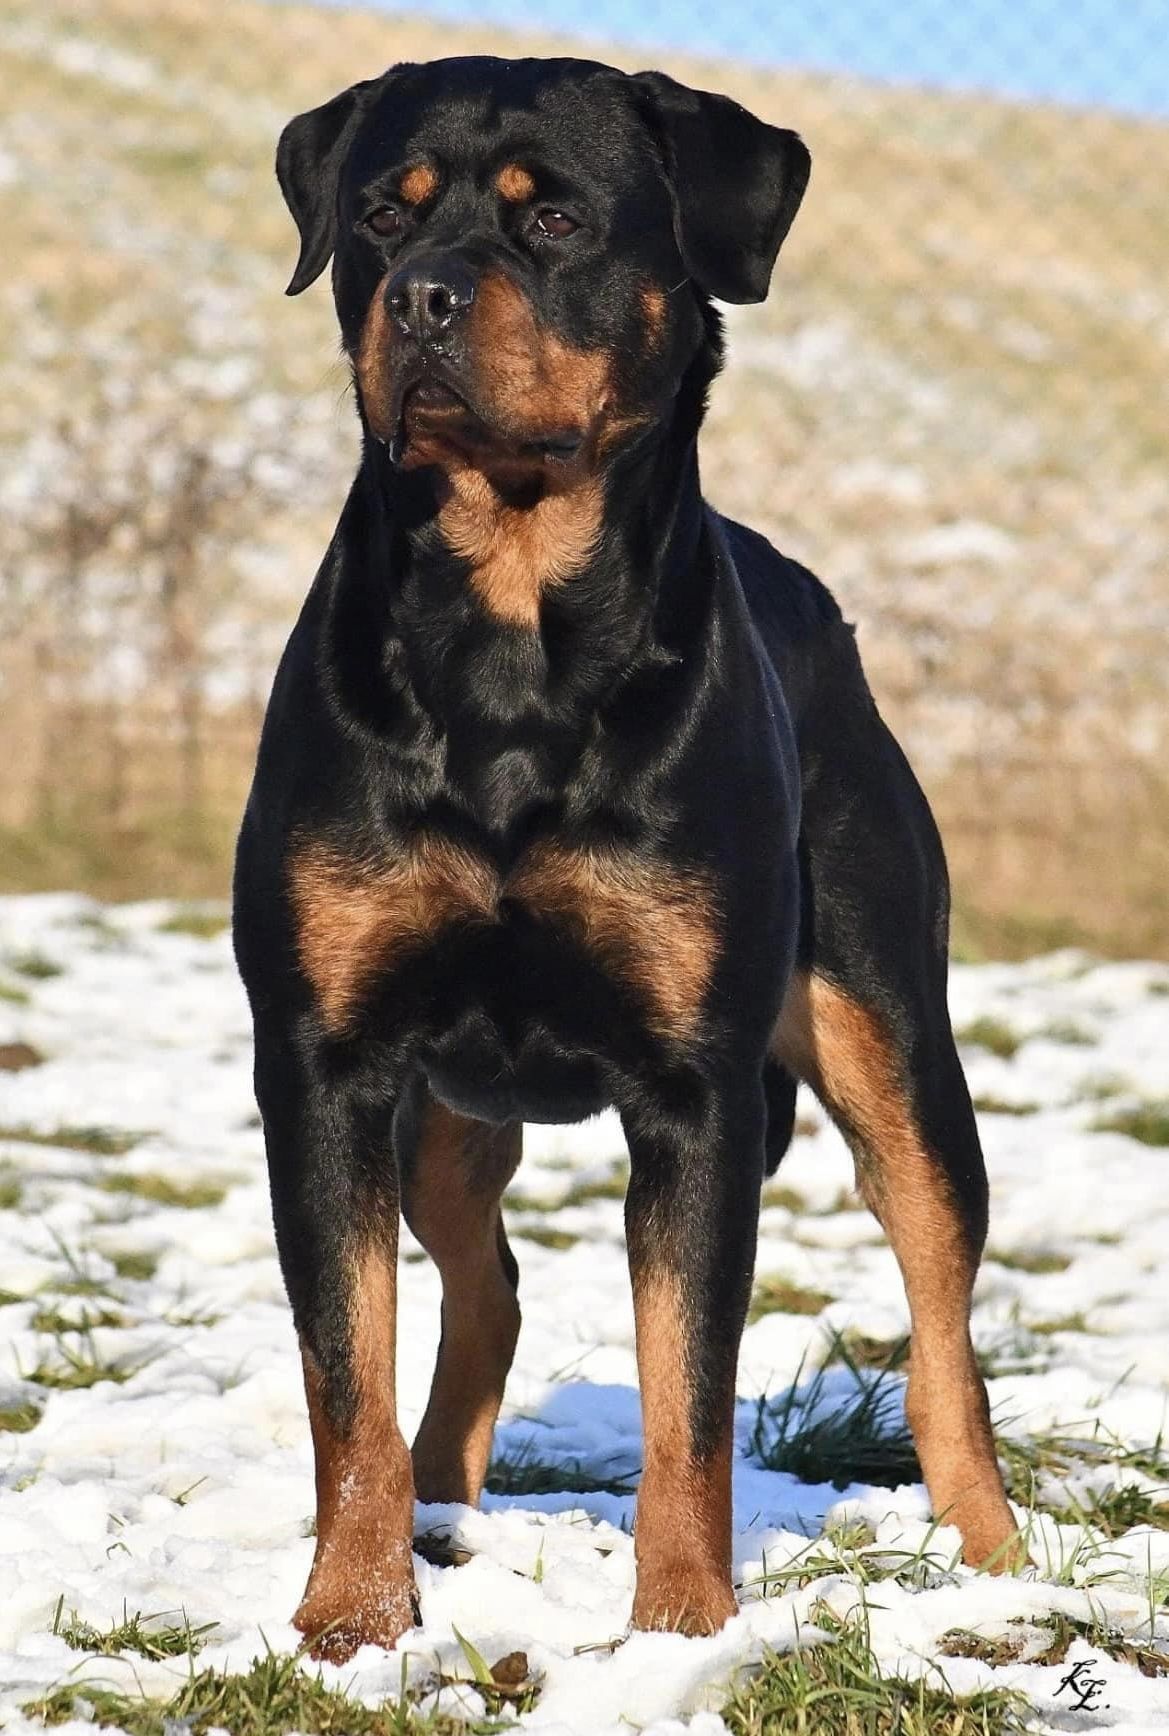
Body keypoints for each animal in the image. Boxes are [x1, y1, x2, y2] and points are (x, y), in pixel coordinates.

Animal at [232, 50, 1014, 1652]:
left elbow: (687, 1392)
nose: (423, 296)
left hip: (890, 1031)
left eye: (555, 222)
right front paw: (352, 1620)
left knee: (939, 1308)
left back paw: (992, 1547)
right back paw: (443, 1504)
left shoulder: (693, 1090)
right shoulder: (324, 1060)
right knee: (485, 1283)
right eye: (379, 218)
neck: (510, 638)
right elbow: (346, 1370)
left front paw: (682, 1629)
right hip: (441, 1107)